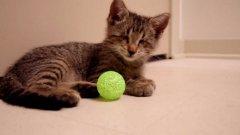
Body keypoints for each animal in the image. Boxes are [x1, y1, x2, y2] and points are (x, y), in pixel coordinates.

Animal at [0, 0, 169, 109]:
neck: (129, 63)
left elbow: (138, 76)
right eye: (124, 37)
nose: (132, 50)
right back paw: (67, 96)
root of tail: (12, 69)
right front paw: (139, 85)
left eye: (142, 41)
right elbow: (121, 80)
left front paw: (143, 80)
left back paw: (84, 88)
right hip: (57, 61)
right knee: (36, 86)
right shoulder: (97, 73)